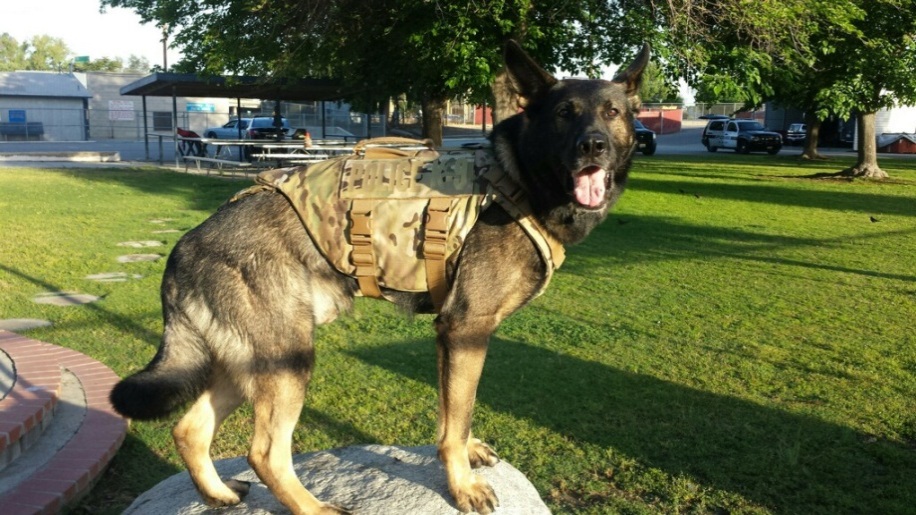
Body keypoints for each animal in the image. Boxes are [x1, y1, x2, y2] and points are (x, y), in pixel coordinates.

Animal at [111, 41, 648, 515]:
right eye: (564, 114)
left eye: (613, 113)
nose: (593, 145)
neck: (518, 178)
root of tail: (184, 249)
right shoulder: (466, 329)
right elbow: (458, 417)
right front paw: (463, 487)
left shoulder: (450, 337)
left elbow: (453, 412)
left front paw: (465, 453)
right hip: (287, 361)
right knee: (264, 451)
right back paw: (313, 507)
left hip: (247, 362)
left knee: (189, 430)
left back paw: (218, 495)